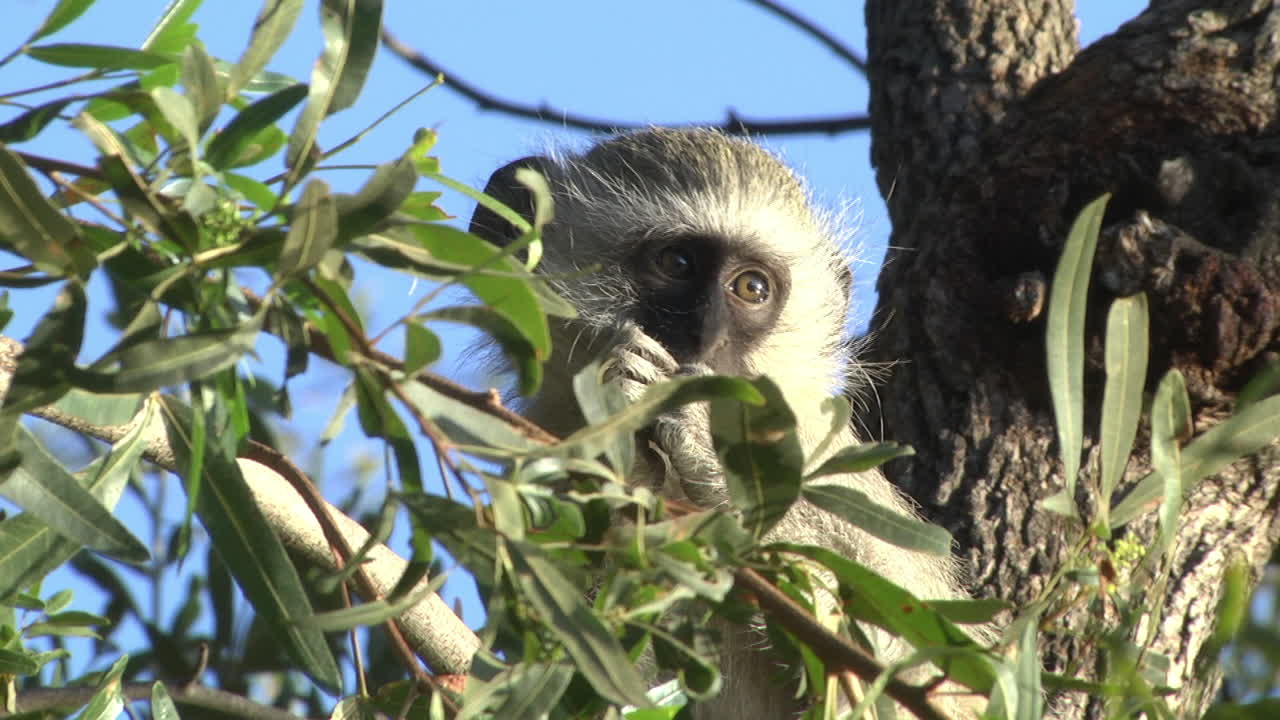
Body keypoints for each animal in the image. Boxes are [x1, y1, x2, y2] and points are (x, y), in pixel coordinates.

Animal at [469, 128, 985, 719]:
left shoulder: (828, 465)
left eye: (752, 289)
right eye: (676, 263)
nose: (706, 337)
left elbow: (924, 683)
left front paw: (702, 446)